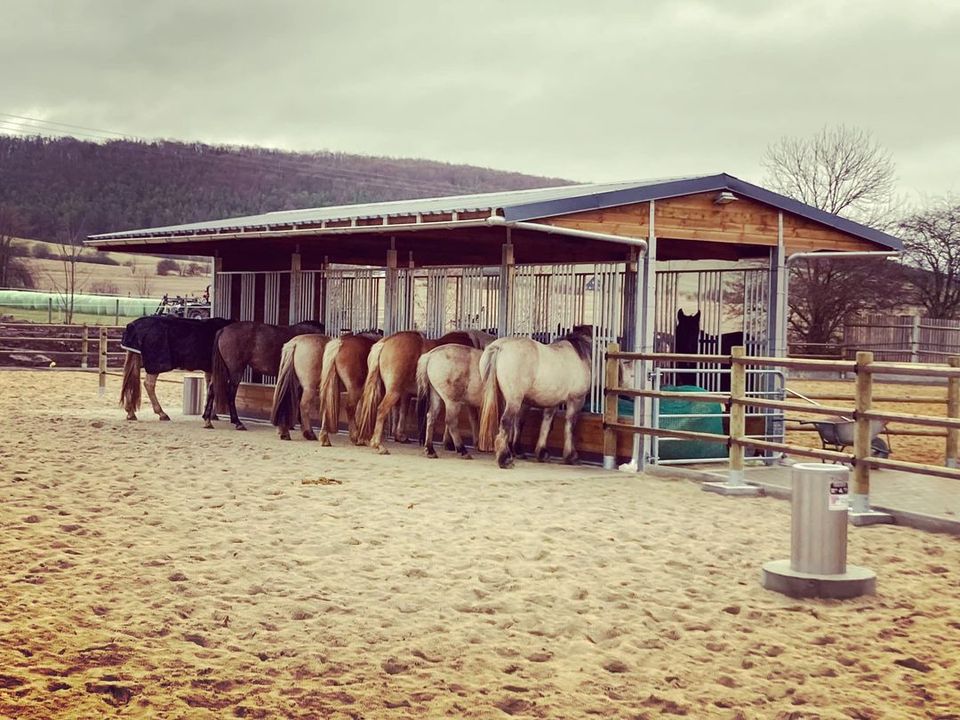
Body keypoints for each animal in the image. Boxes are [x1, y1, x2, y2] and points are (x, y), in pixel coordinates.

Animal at [358, 330, 496, 452]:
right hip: (393, 391)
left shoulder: (408, 394)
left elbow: (403, 411)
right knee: (381, 410)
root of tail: (384, 343)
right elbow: (472, 418)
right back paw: (377, 444)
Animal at [474, 328, 592, 472]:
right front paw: (571, 456)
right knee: (506, 422)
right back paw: (504, 459)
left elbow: (546, 424)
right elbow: (570, 426)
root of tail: (500, 347)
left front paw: (542, 453)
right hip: (514, 400)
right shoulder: (576, 400)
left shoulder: (551, 402)